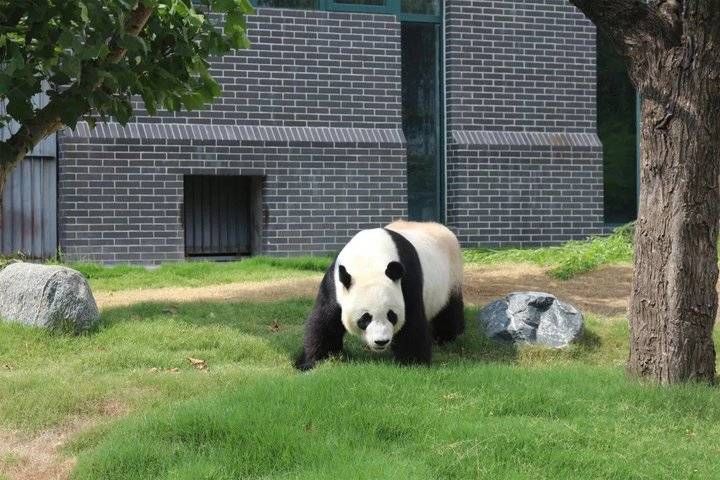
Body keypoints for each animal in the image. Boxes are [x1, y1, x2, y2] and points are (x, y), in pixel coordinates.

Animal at [296, 219, 464, 370]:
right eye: (365, 318)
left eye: (392, 315)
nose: (381, 342)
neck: (370, 259)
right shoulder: (336, 282)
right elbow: (325, 321)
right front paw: (312, 362)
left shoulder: (407, 281)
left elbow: (412, 322)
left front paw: (412, 362)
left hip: (452, 275)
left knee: (449, 310)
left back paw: (445, 337)